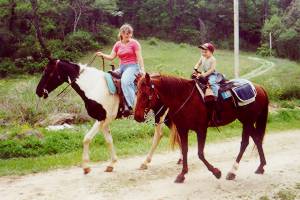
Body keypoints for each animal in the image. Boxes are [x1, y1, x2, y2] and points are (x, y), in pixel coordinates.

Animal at [36, 59, 179, 173]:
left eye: (47, 72)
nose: (38, 91)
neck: (93, 86)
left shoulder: (101, 119)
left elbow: (87, 139)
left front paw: (86, 167)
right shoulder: (103, 120)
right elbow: (108, 140)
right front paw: (111, 163)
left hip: (160, 114)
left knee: (159, 135)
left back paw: (145, 162)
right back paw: (179, 159)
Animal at [135, 73, 268, 183]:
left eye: (146, 94)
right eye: (136, 92)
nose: (137, 116)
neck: (184, 98)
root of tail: (260, 88)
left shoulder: (201, 130)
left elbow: (200, 153)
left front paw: (216, 172)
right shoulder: (182, 129)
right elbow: (185, 150)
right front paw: (182, 174)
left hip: (248, 121)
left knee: (245, 142)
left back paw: (233, 171)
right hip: (246, 121)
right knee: (256, 139)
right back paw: (260, 167)